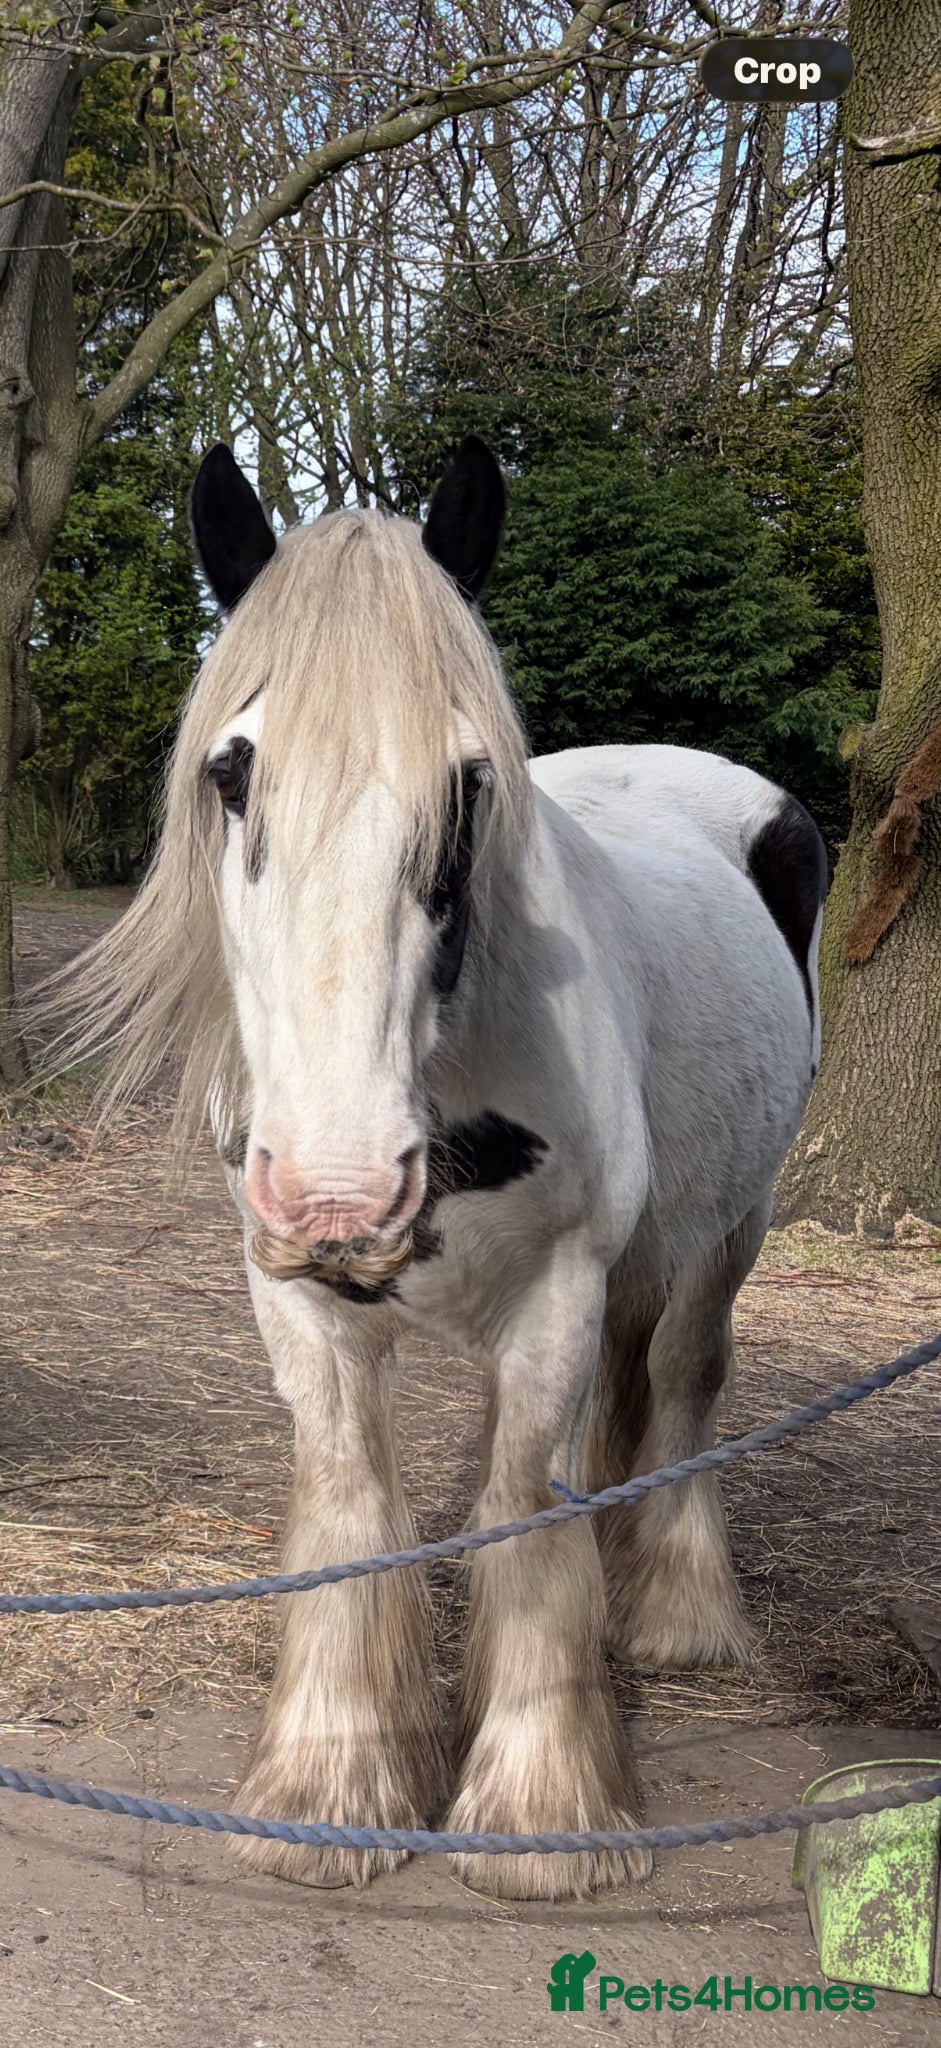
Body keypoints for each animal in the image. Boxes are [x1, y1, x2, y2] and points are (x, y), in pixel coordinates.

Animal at [39, 434, 828, 1901]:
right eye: (233, 775)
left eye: (466, 784)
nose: (341, 1192)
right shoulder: (292, 1294)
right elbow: (354, 1499)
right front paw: (332, 1779)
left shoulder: (560, 1291)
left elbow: (525, 1503)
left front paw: (537, 1808)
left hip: (727, 1225)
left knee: (685, 1379)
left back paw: (677, 1610)